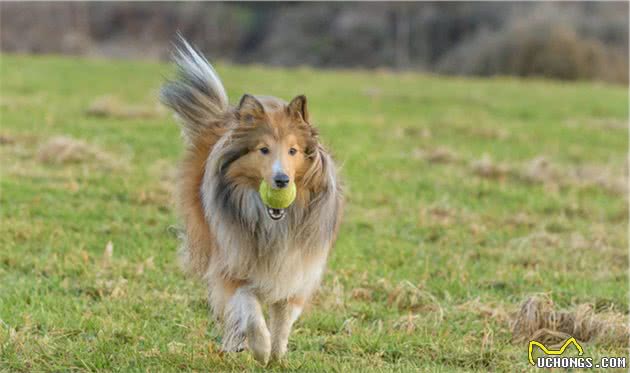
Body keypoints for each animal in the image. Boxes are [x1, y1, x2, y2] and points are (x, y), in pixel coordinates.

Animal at [160, 38, 344, 364]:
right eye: (263, 150)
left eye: (293, 151)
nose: (281, 181)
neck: (275, 224)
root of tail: (224, 117)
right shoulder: (233, 261)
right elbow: (248, 307)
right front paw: (260, 348)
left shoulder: (297, 267)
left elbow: (283, 317)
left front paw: (278, 354)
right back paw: (234, 342)